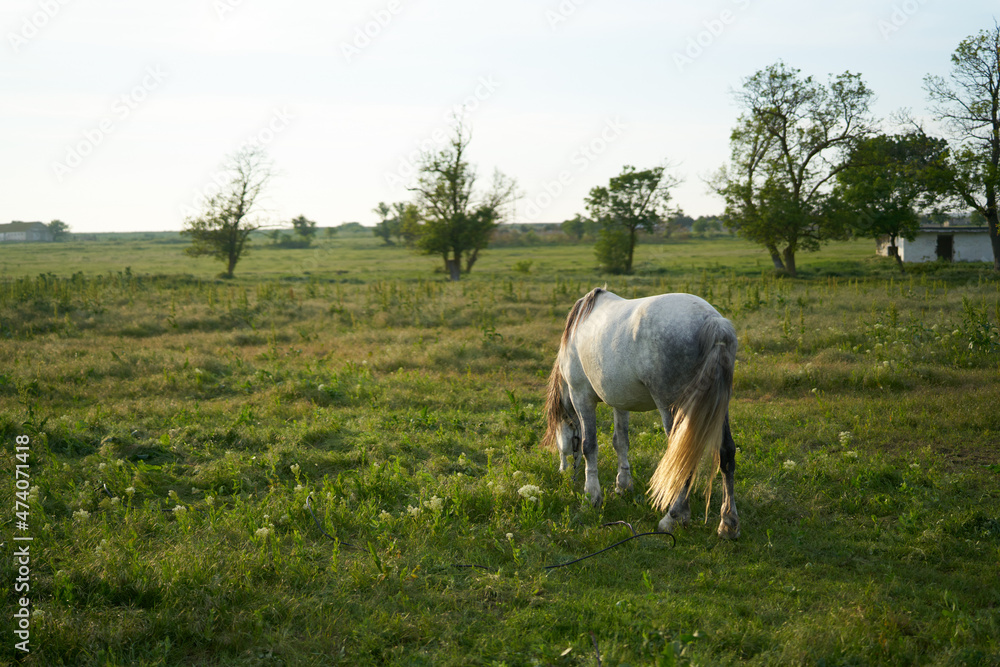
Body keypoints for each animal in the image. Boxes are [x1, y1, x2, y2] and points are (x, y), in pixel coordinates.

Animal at [542, 288, 740, 539]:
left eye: (560, 438)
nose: (563, 472)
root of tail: (713, 322)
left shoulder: (581, 397)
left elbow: (589, 446)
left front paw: (591, 497)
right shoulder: (620, 401)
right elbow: (621, 441)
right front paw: (623, 485)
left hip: (674, 410)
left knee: (683, 456)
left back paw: (674, 517)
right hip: (718, 410)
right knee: (726, 453)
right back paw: (728, 523)